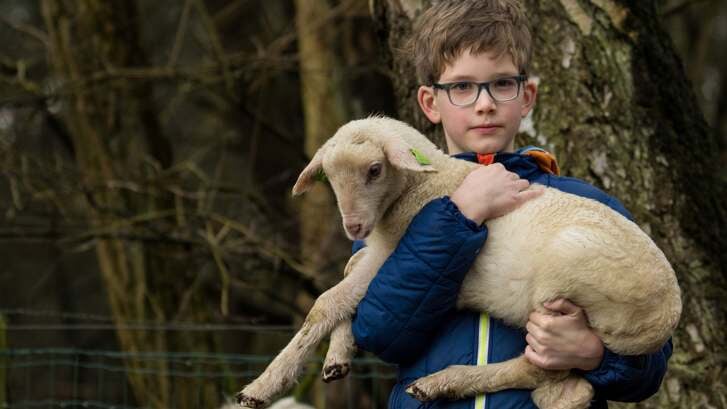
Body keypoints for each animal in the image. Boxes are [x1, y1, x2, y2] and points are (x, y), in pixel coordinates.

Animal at [237, 115, 684, 408]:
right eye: (329, 177)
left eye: (375, 169)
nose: (354, 225)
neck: (429, 184)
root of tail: (665, 317)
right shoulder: (382, 254)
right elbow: (349, 283)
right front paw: (337, 357)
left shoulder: (392, 254)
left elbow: (328, 301)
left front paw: (262, 387)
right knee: (564, 386)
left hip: (565, 285)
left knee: (541, 370)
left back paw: (443, 383)